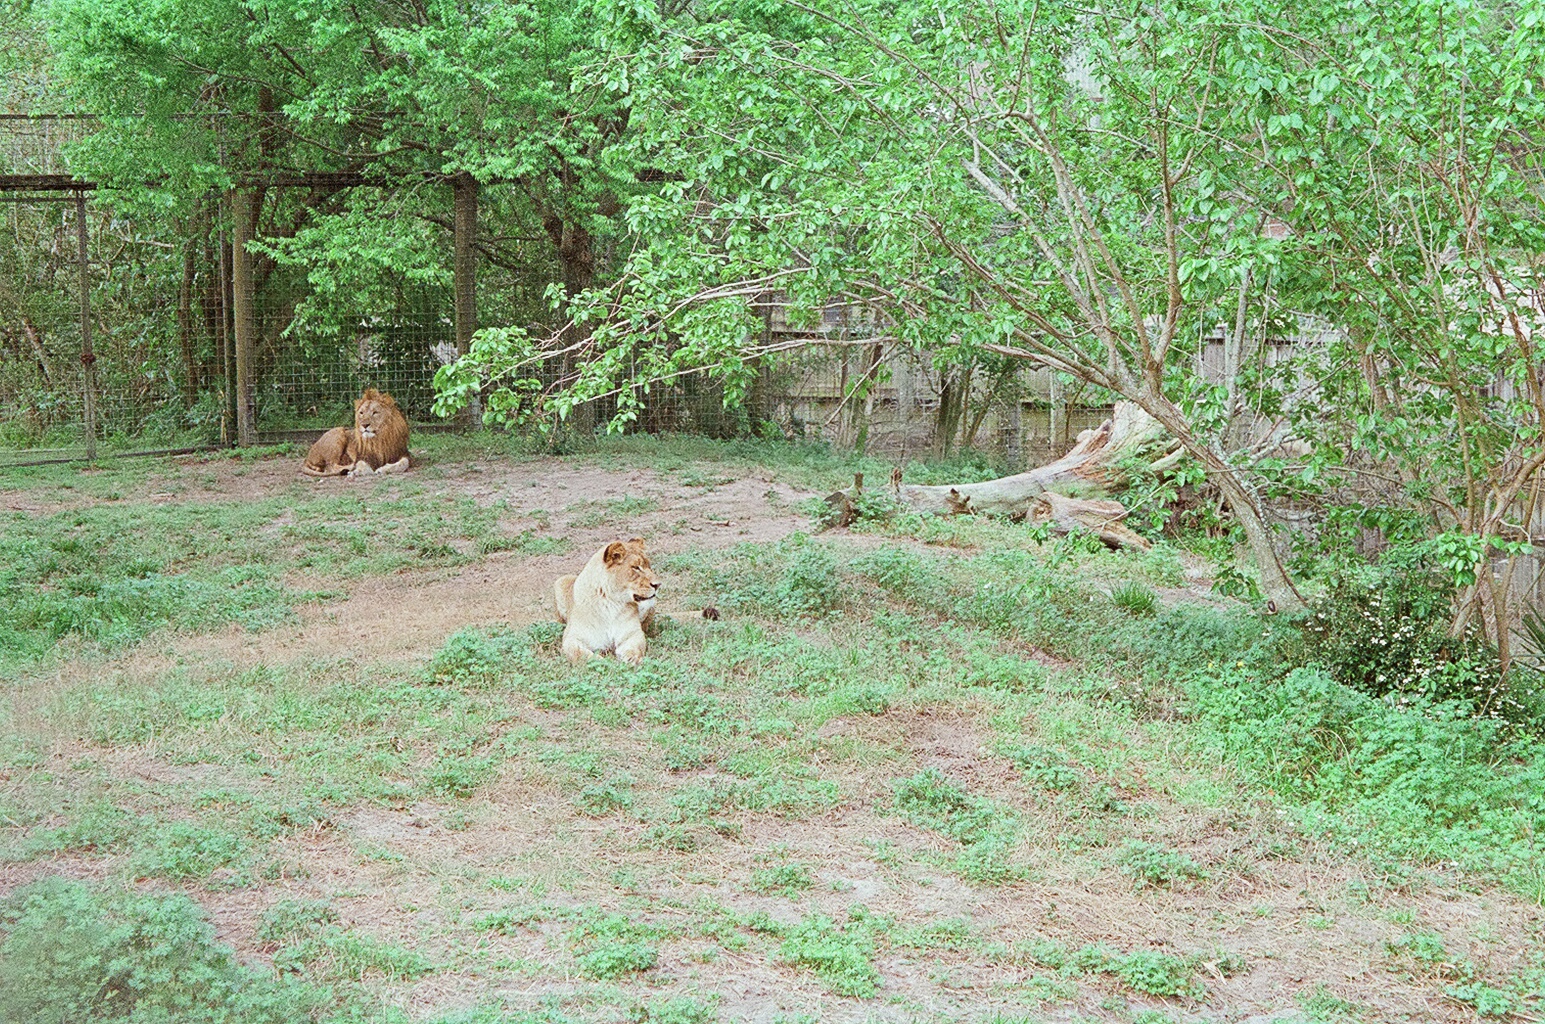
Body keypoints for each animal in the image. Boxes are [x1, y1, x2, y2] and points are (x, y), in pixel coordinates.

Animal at [553, 537, 719, 665]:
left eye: (649, 566)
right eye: (636, 567)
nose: (658, 585)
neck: (611, 603)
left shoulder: (632, 633)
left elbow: (635, 645)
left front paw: (631, 658)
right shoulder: (571, 638)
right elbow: (578, 653)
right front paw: (600, 661)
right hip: (561, 581)